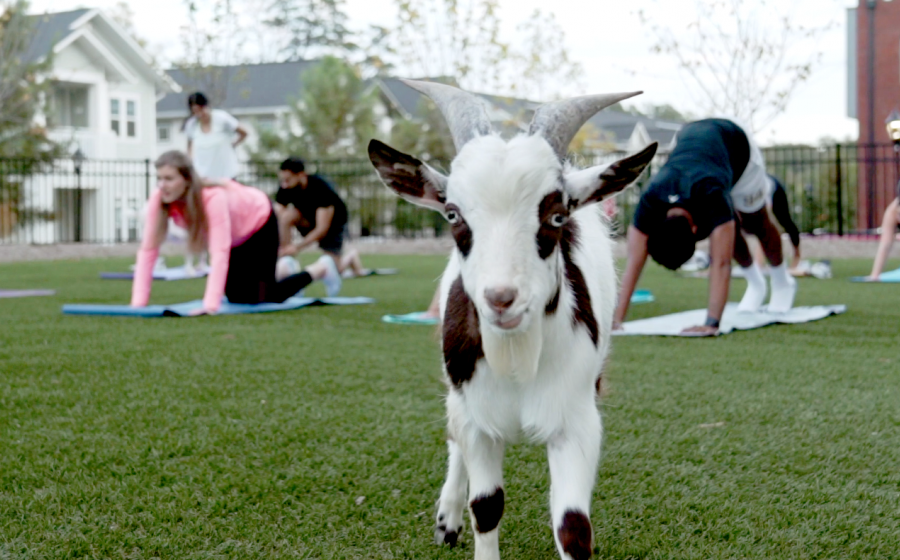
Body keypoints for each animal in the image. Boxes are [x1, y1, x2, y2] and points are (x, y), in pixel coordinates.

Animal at [368, 80, 657, 560]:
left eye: (557, 214)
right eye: (453, 214)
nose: (501, 299)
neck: (516, 358)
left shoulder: (577, 420)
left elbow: (573, 527)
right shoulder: (476, 414)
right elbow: (486, 505)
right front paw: (457, 518)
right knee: (453, 438)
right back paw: (447, 520)